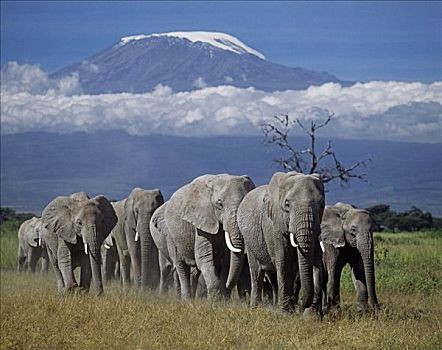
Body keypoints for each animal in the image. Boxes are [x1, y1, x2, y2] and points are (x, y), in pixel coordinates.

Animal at [238, 171, 324, 316]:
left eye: (321, 205)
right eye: (287, 205)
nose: (301, 302)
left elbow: (317, 261)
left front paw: (311, 316)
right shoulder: (273, 226)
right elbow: (284, 263)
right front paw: (286, 314)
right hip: (249, 240)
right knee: (257, 273)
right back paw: (255, 309)